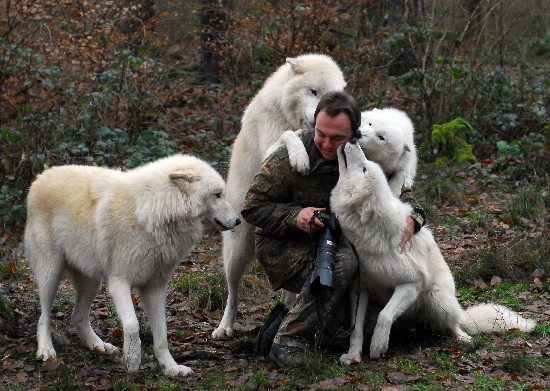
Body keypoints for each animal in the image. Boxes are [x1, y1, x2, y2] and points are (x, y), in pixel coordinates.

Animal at [25, 155, 242, 378]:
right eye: (218, 195)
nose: (238, 221)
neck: (153, 210)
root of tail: (42, 176)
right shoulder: (119, 282)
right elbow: (132, 324)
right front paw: (132, 360)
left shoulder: (155, 287)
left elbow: (162, 335)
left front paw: (171, 367)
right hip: (51, 273)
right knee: (43, 316)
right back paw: (46, 350)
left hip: (92, 283)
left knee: (77, 317)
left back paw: (99, 346)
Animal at [213, 52, 348, 340]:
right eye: (313, 91)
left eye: (329, 96)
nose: (319, 120)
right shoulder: (271, 145)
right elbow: (289, 136)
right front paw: (299, 158)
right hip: (238, 248)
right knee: (232, 290)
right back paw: (224, 327)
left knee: (289, 291)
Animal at [268, 107, 418, 198]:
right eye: (370, 123)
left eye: (381, 137)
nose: (358, 133)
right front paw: (300, 159)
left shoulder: (406, 158)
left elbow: (403, 171)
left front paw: (394, 188)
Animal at [330, 142, 536, 366]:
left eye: (365, 168)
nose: (352, 140)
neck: (371, 235)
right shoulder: (360, 287)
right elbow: (356, 328)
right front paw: (353, 355)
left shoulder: (412, 284)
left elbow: (385, 316)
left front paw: (378, 346)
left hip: (435, 298)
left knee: (454, 325)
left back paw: (463, 338)